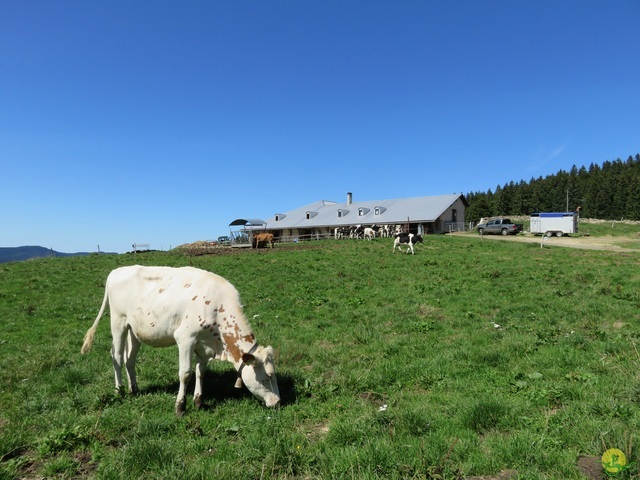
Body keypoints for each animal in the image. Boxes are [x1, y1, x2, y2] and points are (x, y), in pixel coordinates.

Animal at [80, 266, 280, 416]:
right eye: (267, 378)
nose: (277, 402)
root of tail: (117, 271)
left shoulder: (204, 346)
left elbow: (200, 373)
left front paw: (199, 401)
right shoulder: (185, 338)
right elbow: (185, 374)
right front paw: (180, 407)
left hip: (134, 330)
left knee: (130, 359)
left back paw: (134, 389)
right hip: (118, 322)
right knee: (117, 356)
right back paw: (119, 390)